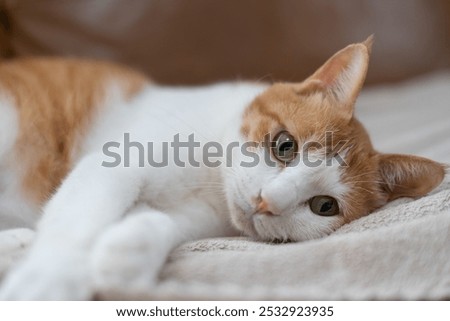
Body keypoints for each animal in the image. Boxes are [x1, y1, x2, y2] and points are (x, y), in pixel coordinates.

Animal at [0, 36, 444, 298]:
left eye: (324, 206)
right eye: (284, 145)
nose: (267, 201)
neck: (211, 178)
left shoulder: (198, 216)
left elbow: (157, 221)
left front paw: (128, 254)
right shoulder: (113, 165)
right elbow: (79, 222)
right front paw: (49, 280)